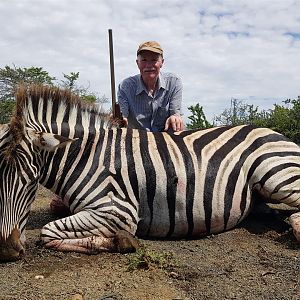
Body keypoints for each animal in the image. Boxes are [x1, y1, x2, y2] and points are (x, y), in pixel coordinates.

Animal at [0, 84, 298, 260]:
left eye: (31, 181)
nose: (6, 249)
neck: (86, 155)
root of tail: (273, 132)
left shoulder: (117, 209)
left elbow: (47, 232)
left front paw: (123, 241)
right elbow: (50, 230)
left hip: (276, 174)